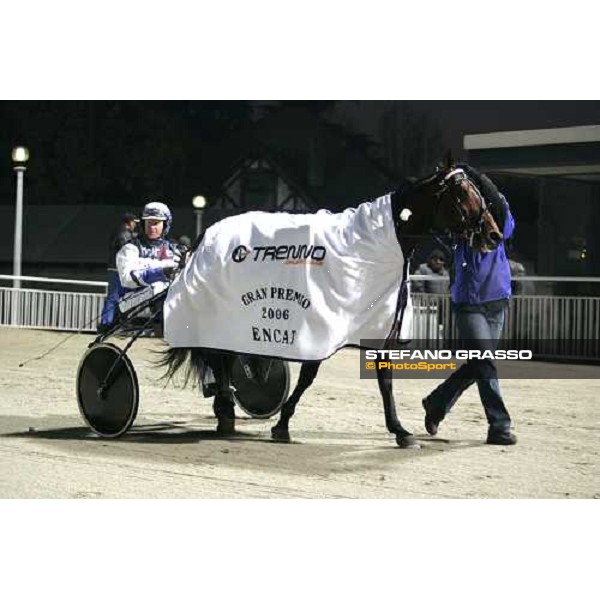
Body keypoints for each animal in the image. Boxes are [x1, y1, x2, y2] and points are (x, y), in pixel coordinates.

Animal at [158, 162, 502, 448]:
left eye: (476, 191)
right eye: (462, 194)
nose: (493, 234)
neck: (369, 247)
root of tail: (205, 235)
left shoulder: (380, 327)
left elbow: (385, 382)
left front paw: (400, 431)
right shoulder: (321, 323)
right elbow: (308, 376)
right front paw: (282, 424)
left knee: (225, 360)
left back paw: (225, 408)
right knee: (219, 359)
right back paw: (225, 409)